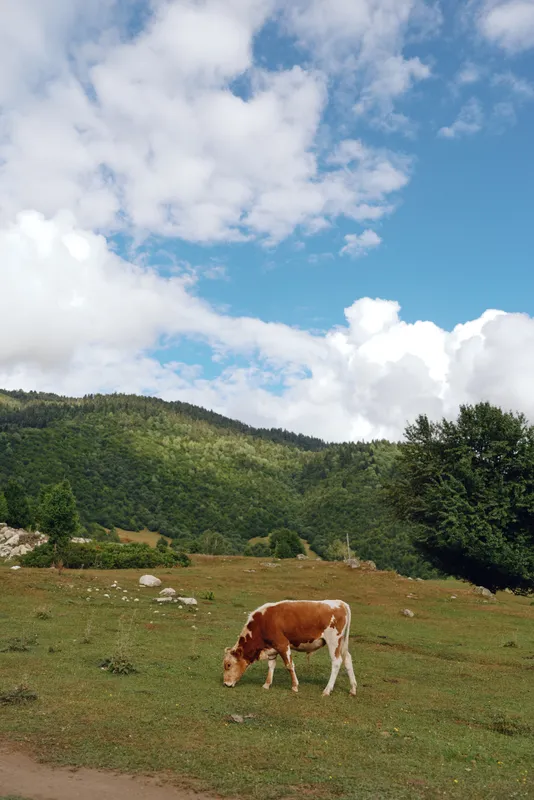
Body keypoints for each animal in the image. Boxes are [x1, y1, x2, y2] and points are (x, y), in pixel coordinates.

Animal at [223, 599, 357, 696]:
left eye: (228, 665)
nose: (225, 684)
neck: (262, 623)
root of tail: (340, 602)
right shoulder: (272, 647)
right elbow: (271, 665)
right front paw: (267, 684)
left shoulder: (282, 644)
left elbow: (289, 665)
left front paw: (295, 686)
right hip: (342, 642)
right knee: (347, 660)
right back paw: (353, 689)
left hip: (334, 640)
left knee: (337, 662)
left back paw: (327, 690)